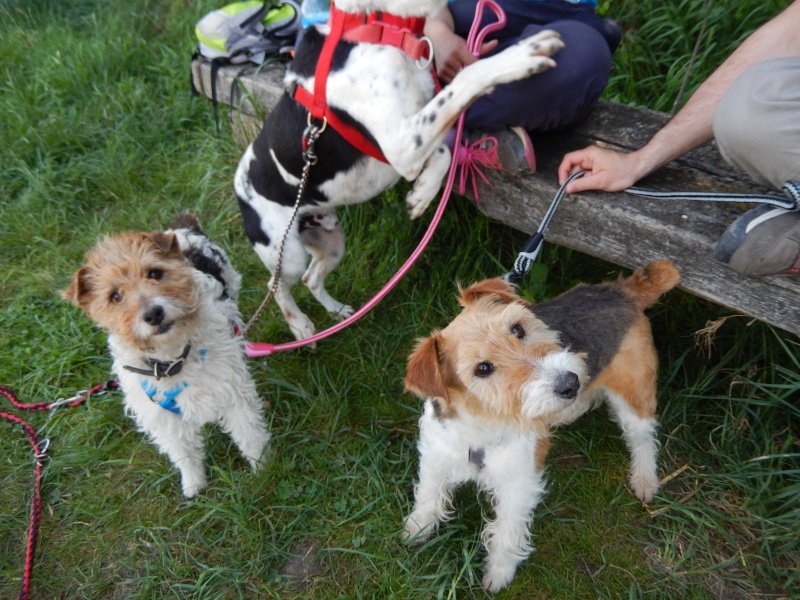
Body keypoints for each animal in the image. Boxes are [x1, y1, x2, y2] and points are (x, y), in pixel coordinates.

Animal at [62, 213, 268, 500]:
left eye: (154, 273)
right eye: (115, 295)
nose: (153, 314)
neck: (172, 361)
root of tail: (180, 229)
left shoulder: (231, 392)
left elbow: (249, 435)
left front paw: (264, 470)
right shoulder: (162, 418)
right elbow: (184, 453)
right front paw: (193, 484)